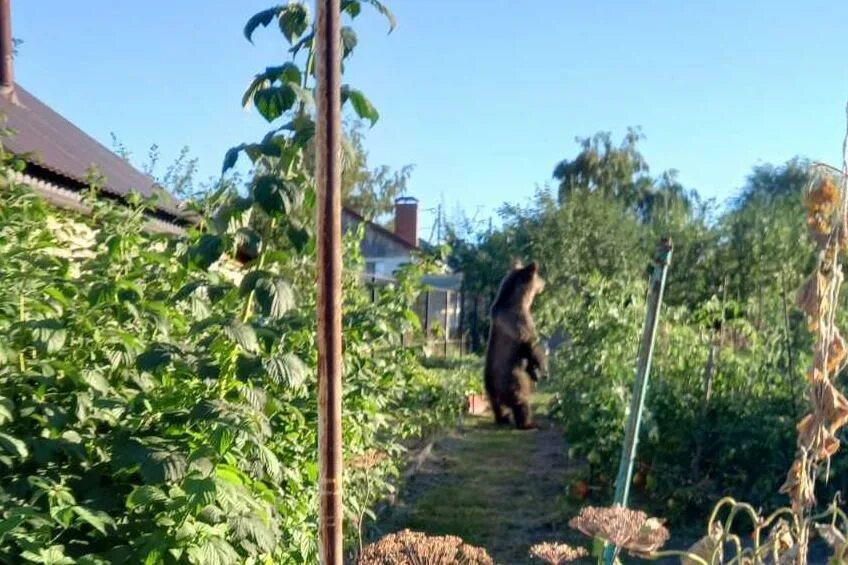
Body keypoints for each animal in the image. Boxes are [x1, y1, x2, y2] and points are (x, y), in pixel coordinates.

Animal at [486, 260, 548, 428]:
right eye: (539, 276)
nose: (544, 283)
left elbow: (529, 355)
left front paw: (536, 373)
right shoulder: (521, 322)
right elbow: (533, 346)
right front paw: (543, 370)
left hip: (491, 388)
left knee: (497, 406)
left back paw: (503, 418)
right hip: (513, 378)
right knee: (521, 401)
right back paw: (528, 423)